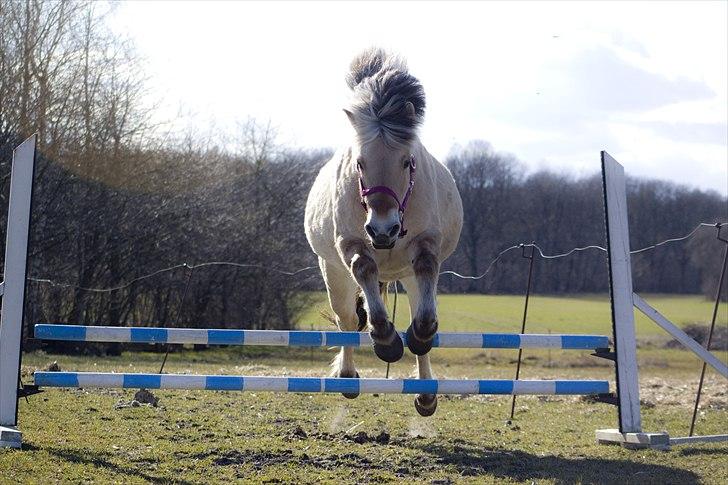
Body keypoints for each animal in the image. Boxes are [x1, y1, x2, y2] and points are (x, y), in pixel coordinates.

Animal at [304, 49, 464, 416]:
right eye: (360, 163)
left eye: (407, 161)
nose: (383, 229)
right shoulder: (350, 244)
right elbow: (364, 270)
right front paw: (387, 341)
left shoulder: (425, 244)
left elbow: (425, 298)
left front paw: (418, 335)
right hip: (332, 271)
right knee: (347, 320)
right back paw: (348, 377)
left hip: (404, 274)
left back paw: (425, 393)